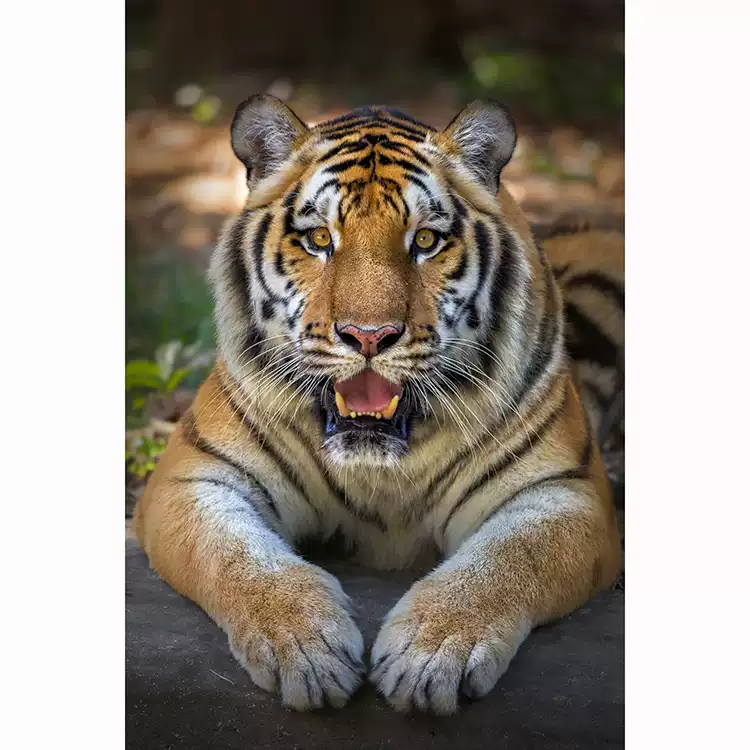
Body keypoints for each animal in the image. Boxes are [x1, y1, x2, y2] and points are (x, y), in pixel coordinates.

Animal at [135, 95, 623, 715]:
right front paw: (307, 647)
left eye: (425, 241)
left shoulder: (564, 492)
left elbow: (507, 563)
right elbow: (238, 559)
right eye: (320, 239)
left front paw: (432, 653)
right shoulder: (194, 478)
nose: (369, 336)